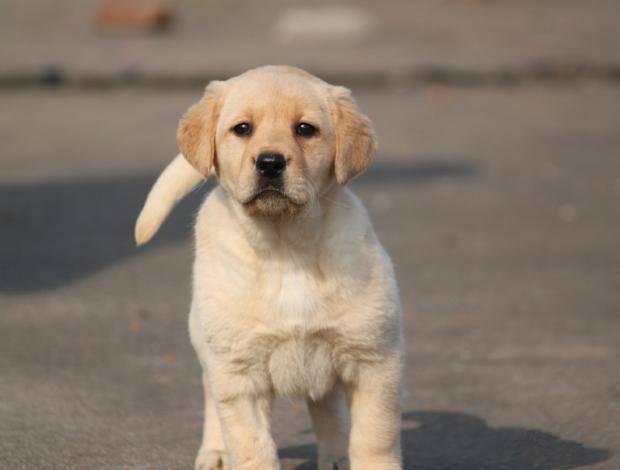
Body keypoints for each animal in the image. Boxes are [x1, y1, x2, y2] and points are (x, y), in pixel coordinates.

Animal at [135, 66, 404, 470]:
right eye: (242, 128)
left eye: (305, 129)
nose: (270, 163)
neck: (285, 251)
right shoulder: (238, 375)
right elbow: (252, 448)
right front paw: (233, 452)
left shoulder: (375, 361)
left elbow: (374, 439)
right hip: (208, 344)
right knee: (211, 397)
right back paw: (215, 452)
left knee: (328, 410)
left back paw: (335, 457)